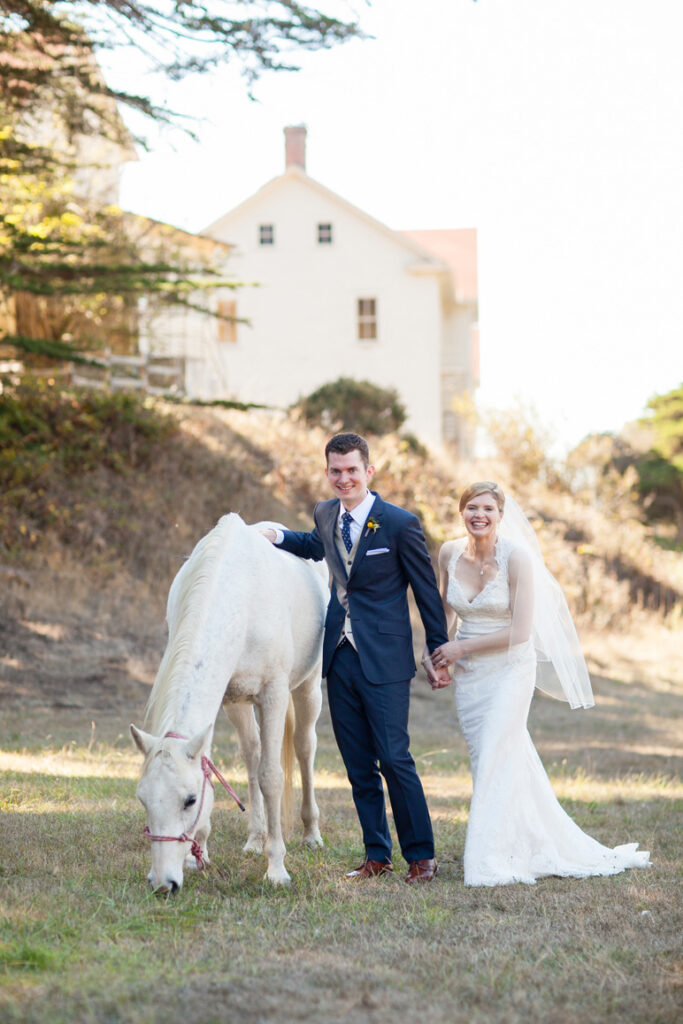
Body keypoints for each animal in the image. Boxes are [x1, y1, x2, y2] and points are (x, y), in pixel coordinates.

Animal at [132, 516, 329, 892]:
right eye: (143, 799)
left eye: (189, 800)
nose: (163, 883)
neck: (237, 598)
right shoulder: (222, 699)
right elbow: (218, 769)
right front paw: (199, 854)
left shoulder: (274, 694)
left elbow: (272, 777)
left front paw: (276, 868)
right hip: (238, 705)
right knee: (252, 753)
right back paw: (255, 838)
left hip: (308, 688)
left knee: (304, 748)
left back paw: (311, 835)